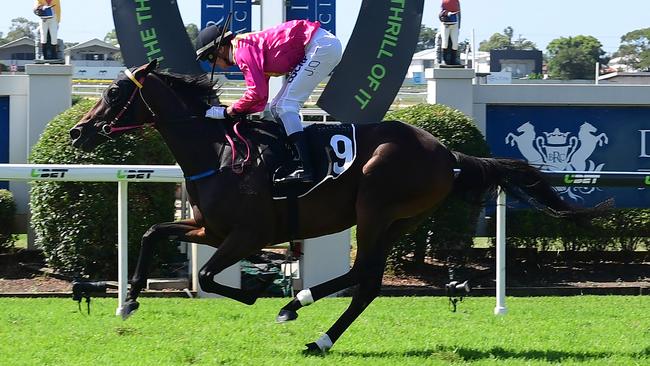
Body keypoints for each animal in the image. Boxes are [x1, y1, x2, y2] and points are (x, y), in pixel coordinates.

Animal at [69, 60, 604, 352]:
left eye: (114, 92)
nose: (77, 131)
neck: (218, 153)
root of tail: (448, 153)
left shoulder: (246, 235)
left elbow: (206, 276)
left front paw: (255, 293)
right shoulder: (209, 231)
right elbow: (151, 233)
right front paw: (130, 299)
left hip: (375, 206)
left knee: (365, 276)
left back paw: (301, 314)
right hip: (399, 221)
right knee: (366, 280)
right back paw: (308, 320)